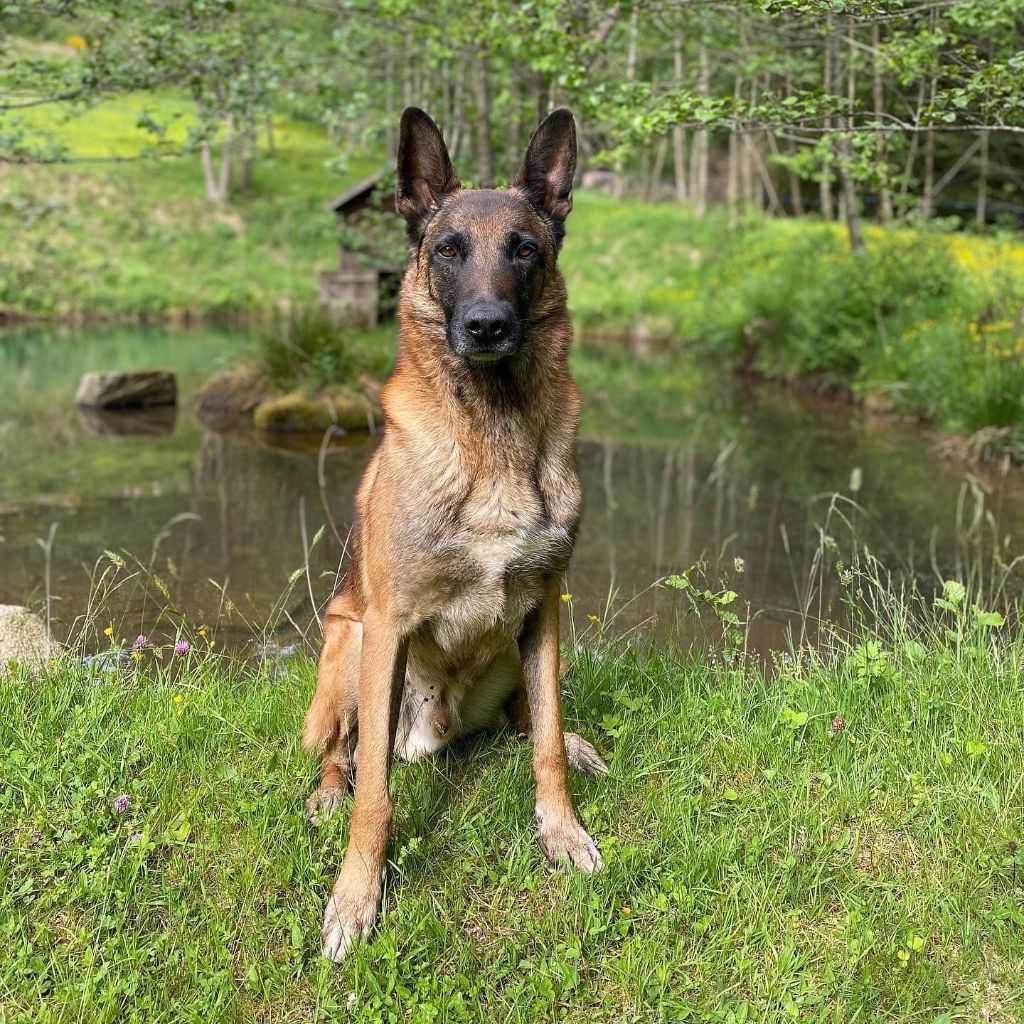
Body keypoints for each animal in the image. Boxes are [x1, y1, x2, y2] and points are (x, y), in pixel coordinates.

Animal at [299, 105, 602, 958]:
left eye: (524, 249)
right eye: (448, 250)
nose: (487, 326)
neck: (492, 437)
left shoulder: (544, 611)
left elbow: (543, 744)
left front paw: (562, 832)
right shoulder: (387, 626)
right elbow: (376, 795)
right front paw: (355, 898)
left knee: (524, 720)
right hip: (348, 644)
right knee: (342, 753)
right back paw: (327, 794)